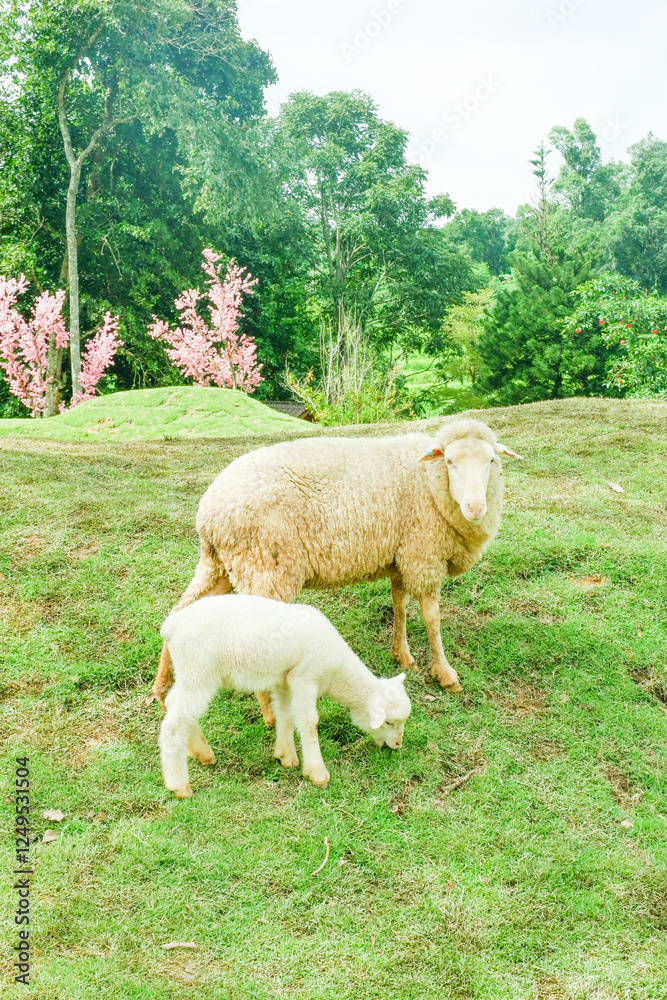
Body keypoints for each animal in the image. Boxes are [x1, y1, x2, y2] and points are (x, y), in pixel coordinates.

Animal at [152, 418, 522, 718]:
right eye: (450, 462)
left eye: (491, 461)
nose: (475, 507)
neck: (429, 484)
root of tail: (208, 511)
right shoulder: (422, 555)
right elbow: (432, 618)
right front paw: (445, 674)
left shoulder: (399, 557)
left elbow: (399, 605)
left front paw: (402, 655)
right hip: (265, 568)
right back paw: (270, 714)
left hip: (220, 565)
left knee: (181, 611)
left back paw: (162, 690)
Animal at [159, 593, 412, 796]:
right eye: (389, 722)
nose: (398, 744)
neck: (337, 672)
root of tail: (171, 626)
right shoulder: (305, 678)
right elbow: (310, 724)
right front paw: (317, 773)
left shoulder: (284, 681)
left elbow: (285, 715)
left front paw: (285, 756)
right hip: (199, 671)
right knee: (174, 724)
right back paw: (179, 785)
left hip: (190, 673)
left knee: (175, 705)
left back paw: (201, 752)